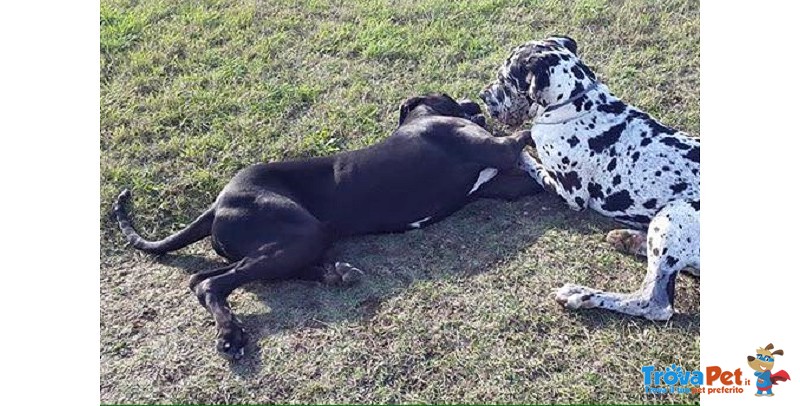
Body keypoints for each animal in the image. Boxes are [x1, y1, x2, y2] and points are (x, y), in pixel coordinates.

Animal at [112, 94, 540, 358]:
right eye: (450, 97)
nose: (476, 104)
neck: (422, 119)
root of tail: (218, 202)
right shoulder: (501, 149)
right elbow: (526, 133)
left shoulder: (503, 183)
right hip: (301, 233)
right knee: (211, 284)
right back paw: (230, 335)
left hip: (287, 243)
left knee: (201, 277)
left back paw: (337, 274)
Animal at [478, 36, 696, 320]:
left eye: (505, 79)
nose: (483, 95)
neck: (577, 103)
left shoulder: (569, 192)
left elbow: (533, 165)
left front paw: (520, 154)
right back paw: (629, 238)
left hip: (673, 215)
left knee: (651, 303)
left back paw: (580, 295)